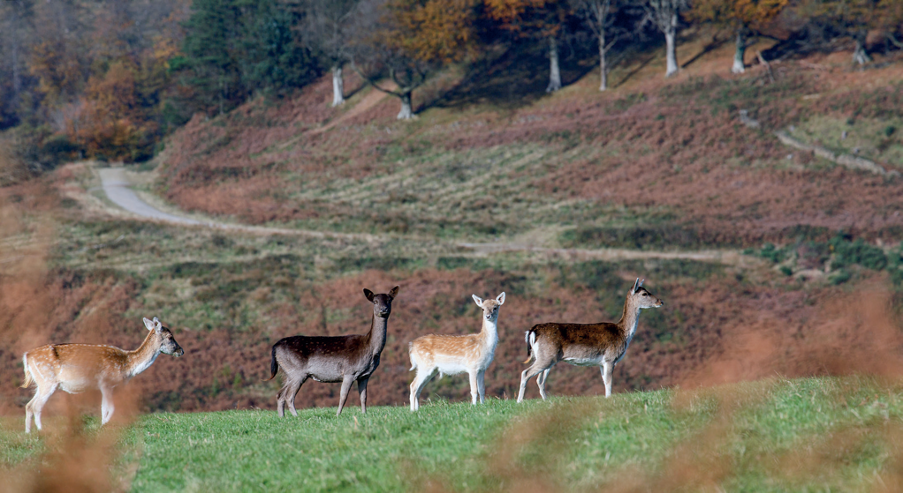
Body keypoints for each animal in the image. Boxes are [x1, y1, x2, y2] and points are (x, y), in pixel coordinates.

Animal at [21, 318, 183, 430]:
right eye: (170, 337)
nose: (181, 350)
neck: (128, 365)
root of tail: (27, 356)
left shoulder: (104, 386)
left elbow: (103, 408)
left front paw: (102, 426)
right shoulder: (107, 383)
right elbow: (110, 408)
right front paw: (104, 426)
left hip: (41, 383)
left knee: (29, 405)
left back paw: (29, 432)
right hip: (48, 381)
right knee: (37, 406)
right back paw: (41, 431)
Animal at [264, 286, 400, 416]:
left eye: (389, 300)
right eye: (375, 301)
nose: (383, 309)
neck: (371, 350)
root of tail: (275, 347)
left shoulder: (365, 375)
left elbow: (364, 397)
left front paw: (364, 414)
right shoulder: (349, 371)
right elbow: (343, 396)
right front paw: (337, 415)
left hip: (288, 373)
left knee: (280, 394)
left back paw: (283, 417)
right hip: (297, 371)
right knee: (288, 396)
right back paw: (296, 416)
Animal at [516, 280, 664, 404]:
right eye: (645, 293)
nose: (660, 301)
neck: (623, 333)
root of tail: (533, 330)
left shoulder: (601, 362)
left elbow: (604, 381)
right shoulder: (610, 358)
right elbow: (609, 382)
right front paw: (609, 399)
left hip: (547, 358)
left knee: (539, 380)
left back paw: (547, 401)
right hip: (547, 356)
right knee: (525, 373)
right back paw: (519, 401)